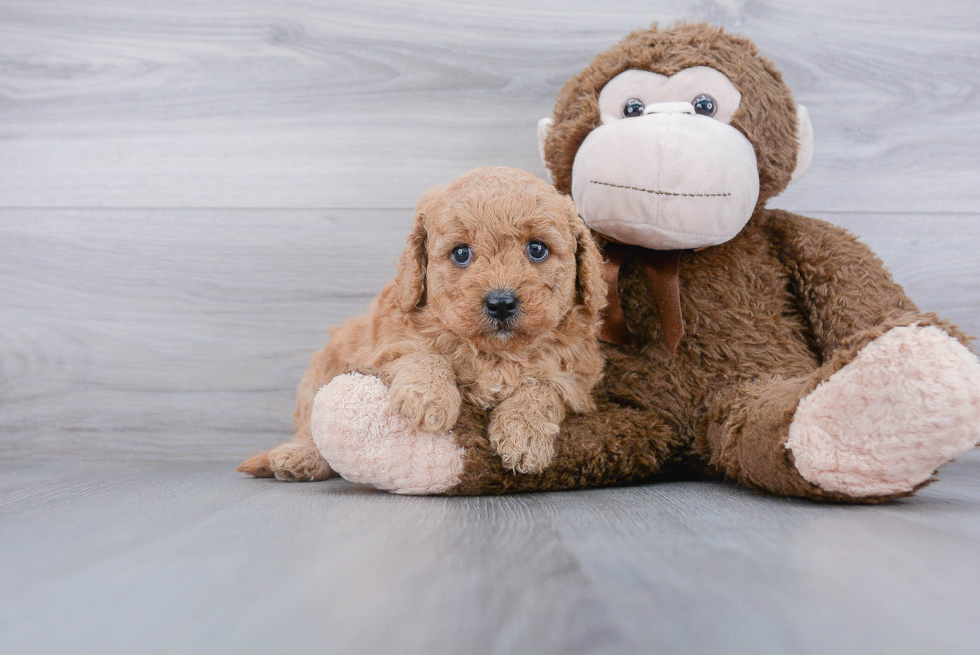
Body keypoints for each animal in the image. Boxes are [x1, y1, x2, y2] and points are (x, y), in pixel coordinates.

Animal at [237, 167, 604, 480]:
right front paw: (429, 399)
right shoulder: (386, 346)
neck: (495, 354)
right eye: (461, 254)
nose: (500, 303)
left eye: (537, 249)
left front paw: (525, 437)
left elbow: (540, 388)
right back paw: (299, 458)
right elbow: (422, 353)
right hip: (320, 372)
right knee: (309, 427)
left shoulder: (574, 378)